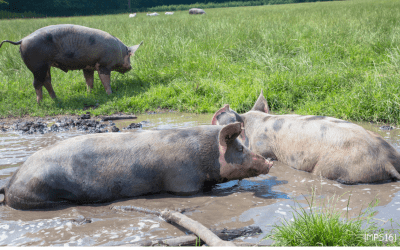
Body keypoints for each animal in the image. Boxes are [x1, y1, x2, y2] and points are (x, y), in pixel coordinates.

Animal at [0, 24, 144, 103]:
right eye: (129, 56)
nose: (130, 67)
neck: (118, 51)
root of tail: (22, 40)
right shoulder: (103, 65)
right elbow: (105, 80)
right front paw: (110, 94)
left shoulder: (88, 66)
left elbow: (89, 81)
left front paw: (89, 94)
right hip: (38, 66)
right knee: (37, 84)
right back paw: (40, 103)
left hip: (45, 66)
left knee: (47, 81)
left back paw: (56, 99)